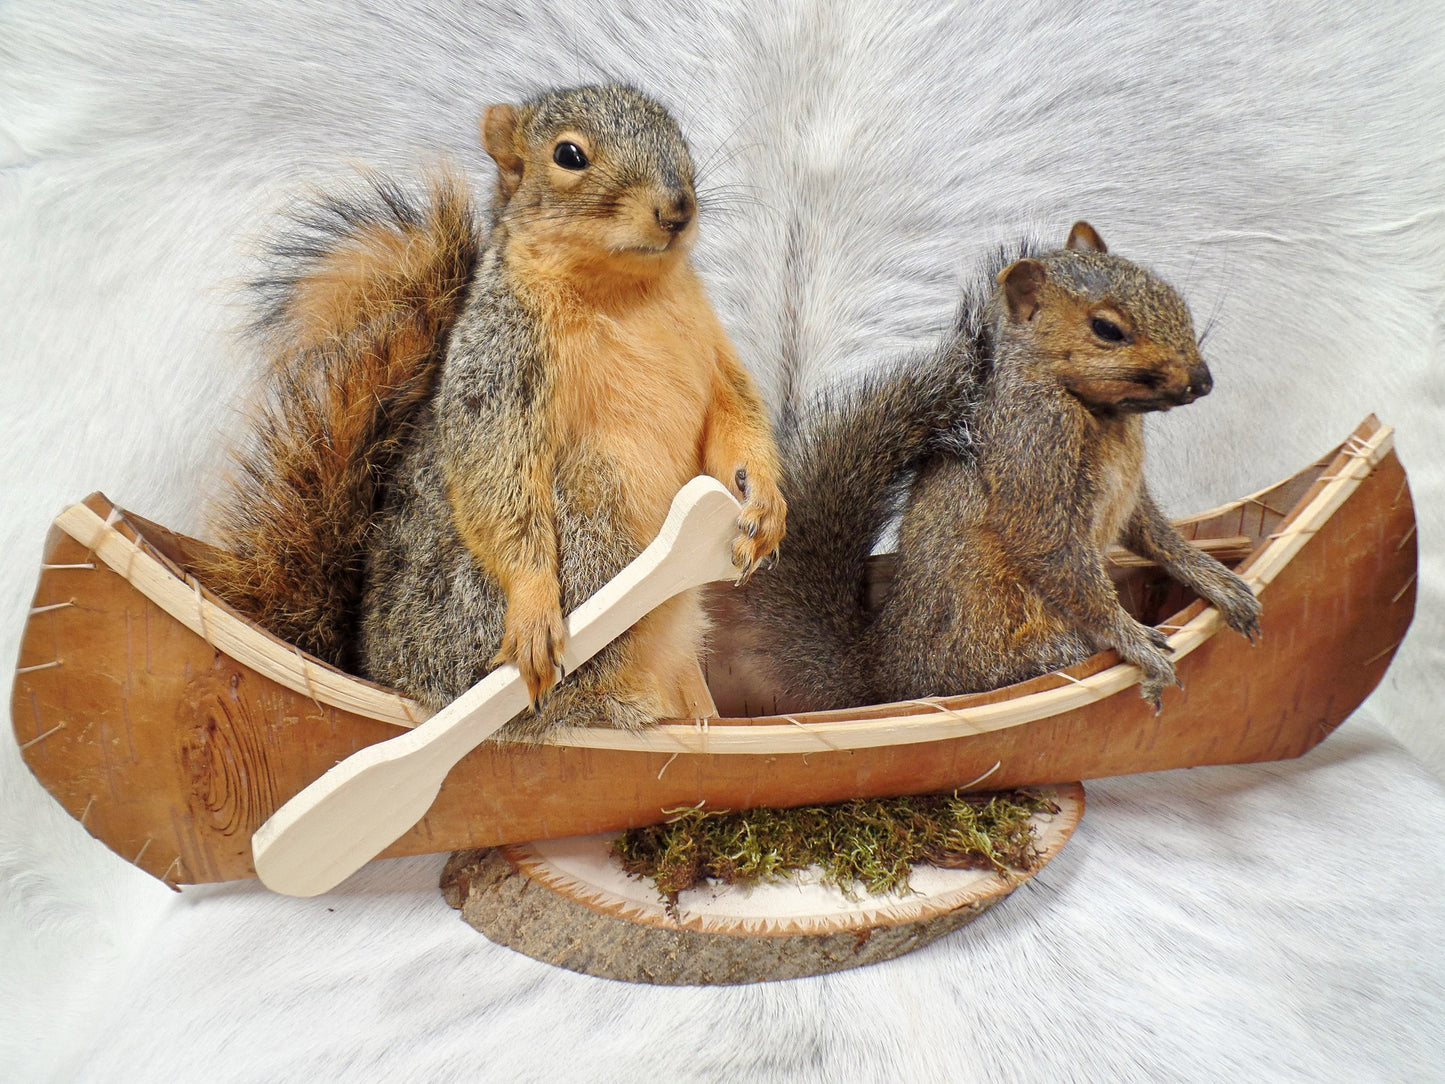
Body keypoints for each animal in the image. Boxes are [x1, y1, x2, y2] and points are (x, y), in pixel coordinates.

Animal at [200, 84, 786, 731]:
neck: (628, 293)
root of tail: (381, 668)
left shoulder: (714, 360)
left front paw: (765, 505)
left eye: (677, 135)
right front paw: (532, 608)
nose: (677, 209)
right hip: (590, 530)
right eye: (569, 155)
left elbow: (735, 420)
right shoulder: (499, 366)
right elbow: (498, 475)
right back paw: (618, 706)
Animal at [738, 221, 1261, 712]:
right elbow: (1055, 553)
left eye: (1174, 297)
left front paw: (1214, 579)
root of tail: (885, 679)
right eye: (1107, 329)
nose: (1202, 381)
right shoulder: (1034, 447)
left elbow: (1154, 533)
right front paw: (1136, 643)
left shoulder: (1128, 497)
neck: (1102, 414)